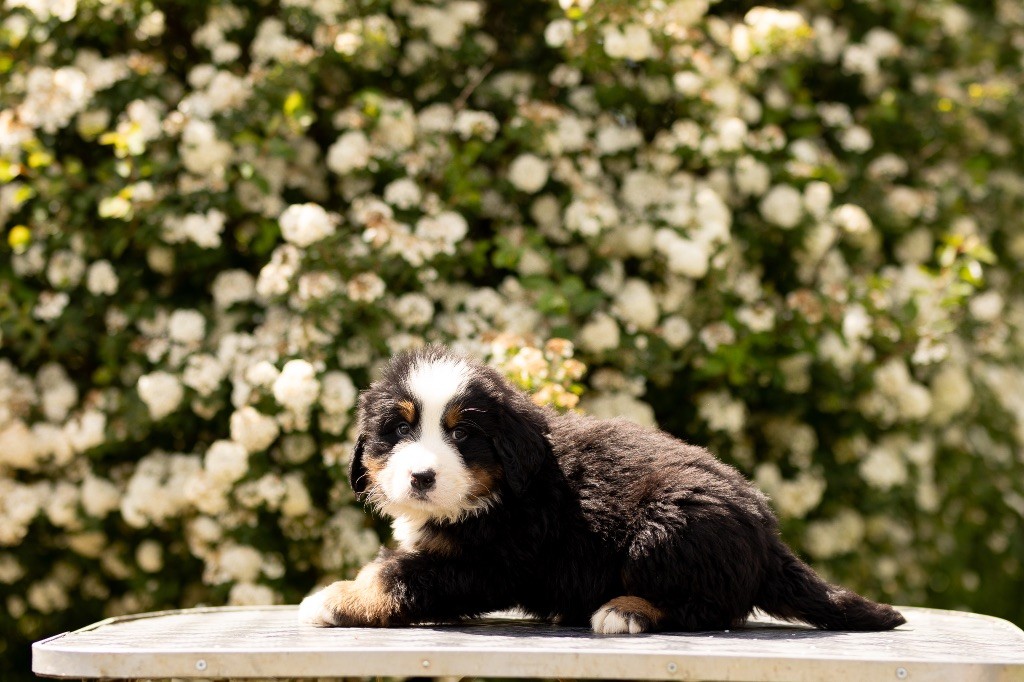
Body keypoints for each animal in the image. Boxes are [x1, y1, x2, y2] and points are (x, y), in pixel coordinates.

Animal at [299, 346, 905, 633]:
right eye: (398, 429)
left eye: (464, 434)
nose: (421, 476)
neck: (505, 488)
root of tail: (767, 532)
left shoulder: (491, 560)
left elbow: (398, 573)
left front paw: (338, 598)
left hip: (666, 523)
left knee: (712, 608)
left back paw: (625, 611)